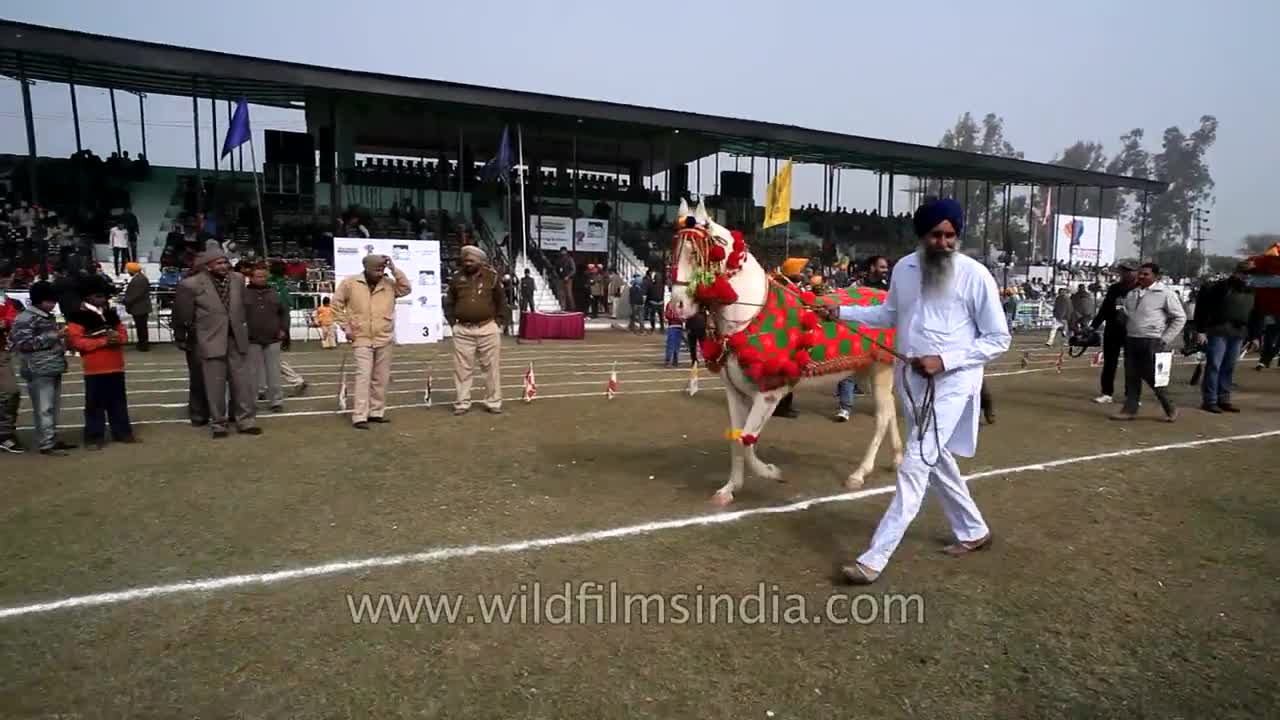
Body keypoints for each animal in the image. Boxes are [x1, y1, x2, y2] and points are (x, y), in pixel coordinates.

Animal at [665, 197, 906, 504]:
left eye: (697, 253)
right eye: (675, 248)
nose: (677, 306)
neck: (750, 316)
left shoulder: (770, 393)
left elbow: (746, 440)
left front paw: (772, 472)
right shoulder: (735, 392)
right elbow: (735, 440)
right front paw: (729, 490)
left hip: (882, 369)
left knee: (883, 418)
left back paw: (859, 473)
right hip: (864, 371)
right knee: (889, 413)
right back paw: (897, 459)